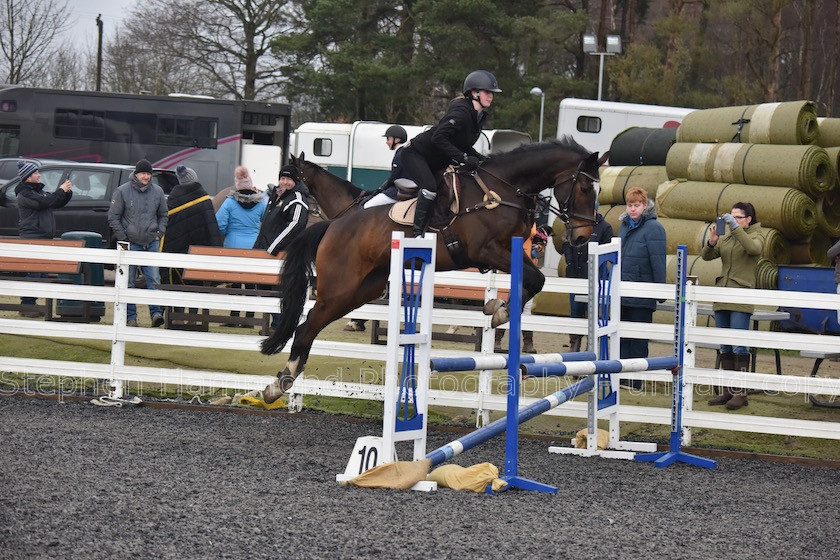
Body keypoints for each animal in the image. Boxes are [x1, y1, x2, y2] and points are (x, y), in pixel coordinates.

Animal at [260, 139, 608, 402]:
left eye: (597, 191)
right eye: (584, 189)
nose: (582, 237)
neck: (505, 190)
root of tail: (332, 226)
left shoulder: (510, 251)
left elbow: (533, 280)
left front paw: (496, 308)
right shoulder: (486, 250)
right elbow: (536, 279)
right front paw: (499, 311)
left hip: (361, 290)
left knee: (310, 325)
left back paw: (281, 382)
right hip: (340, 288)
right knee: (306, 327)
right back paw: (280, 383)